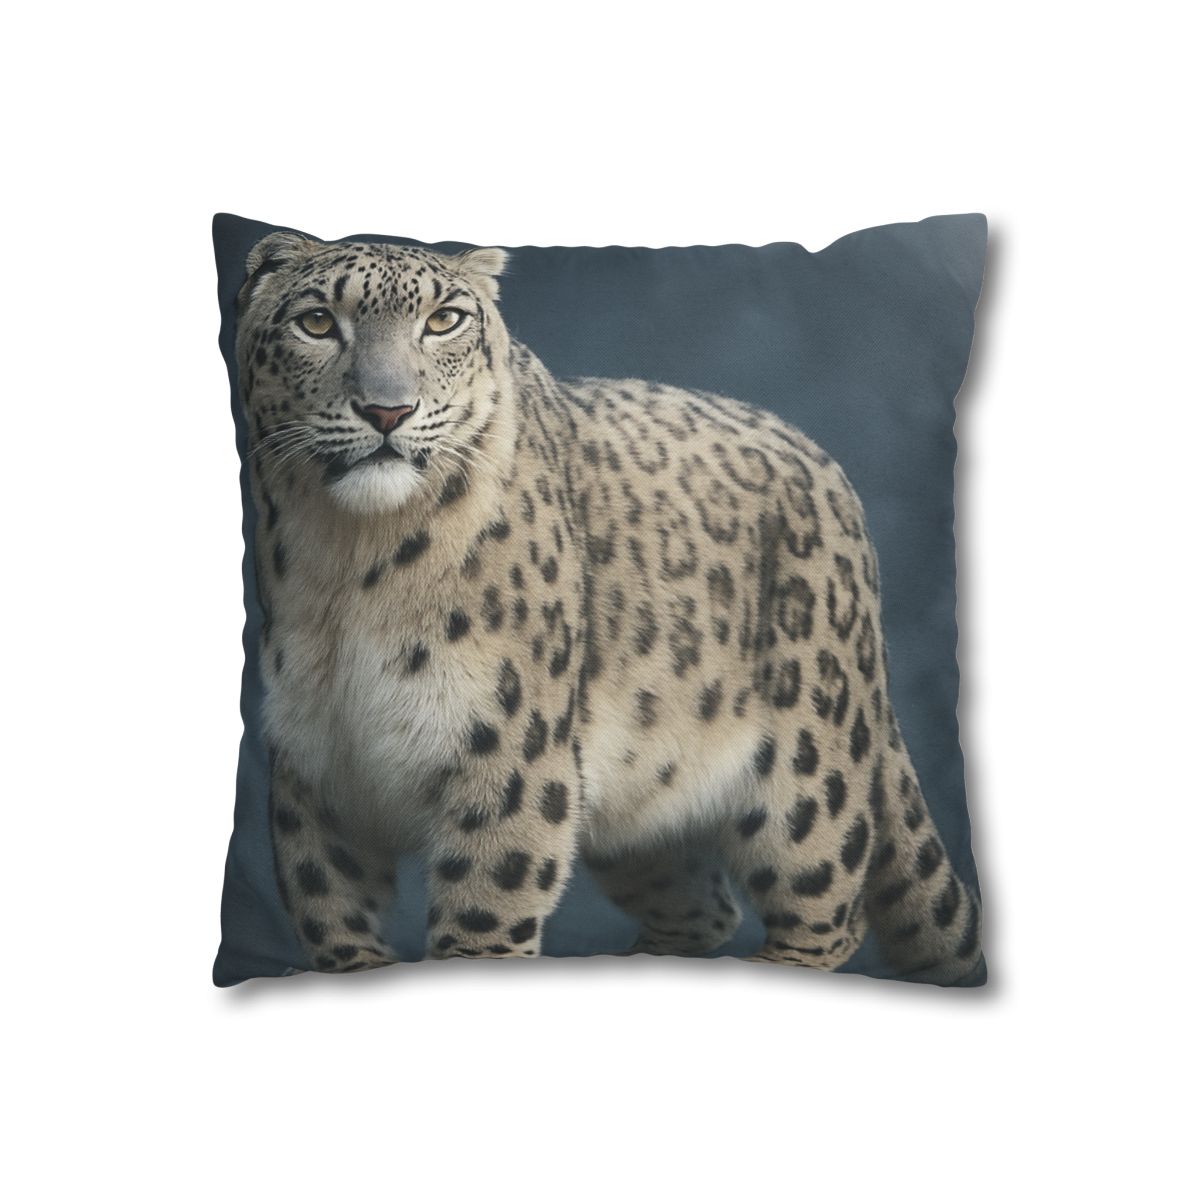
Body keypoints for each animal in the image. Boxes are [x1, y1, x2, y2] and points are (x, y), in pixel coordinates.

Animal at [235, 231, 983, 985]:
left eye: (444, 320)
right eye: (317, 322)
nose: (388, 410)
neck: (348, 565)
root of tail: (830, 473)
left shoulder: (507, 751)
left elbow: (484, 913)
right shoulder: (314, 763)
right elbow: (331, 915)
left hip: (808, 775)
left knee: (826, 905)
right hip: (642, 800)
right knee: (702, 904)